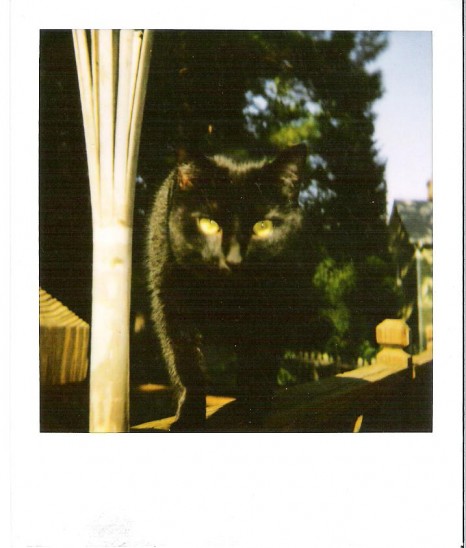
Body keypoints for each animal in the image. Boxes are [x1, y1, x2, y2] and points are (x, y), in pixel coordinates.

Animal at [146, 144, 309, 431]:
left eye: (263, 226)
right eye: (209, 224)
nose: (233, 258)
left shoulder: (275, 307)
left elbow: (260, 363)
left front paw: (253, 411)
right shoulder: (171, 302)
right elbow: (186, 364)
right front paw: (188, 418)